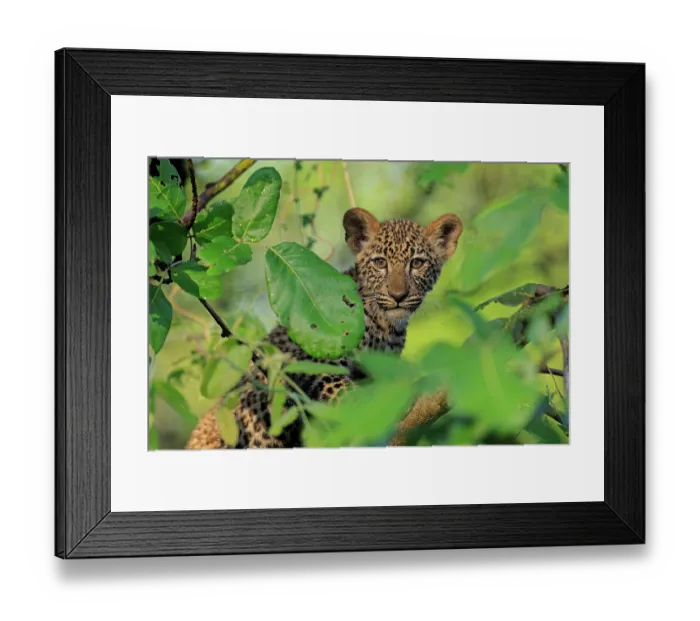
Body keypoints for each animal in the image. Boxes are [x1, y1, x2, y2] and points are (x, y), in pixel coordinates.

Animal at [185, 207, 463, 450]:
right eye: (380, 262)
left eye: (417, 263)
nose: (398, 296)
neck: (385, 327)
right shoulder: (308, 362)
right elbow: (343, 389)